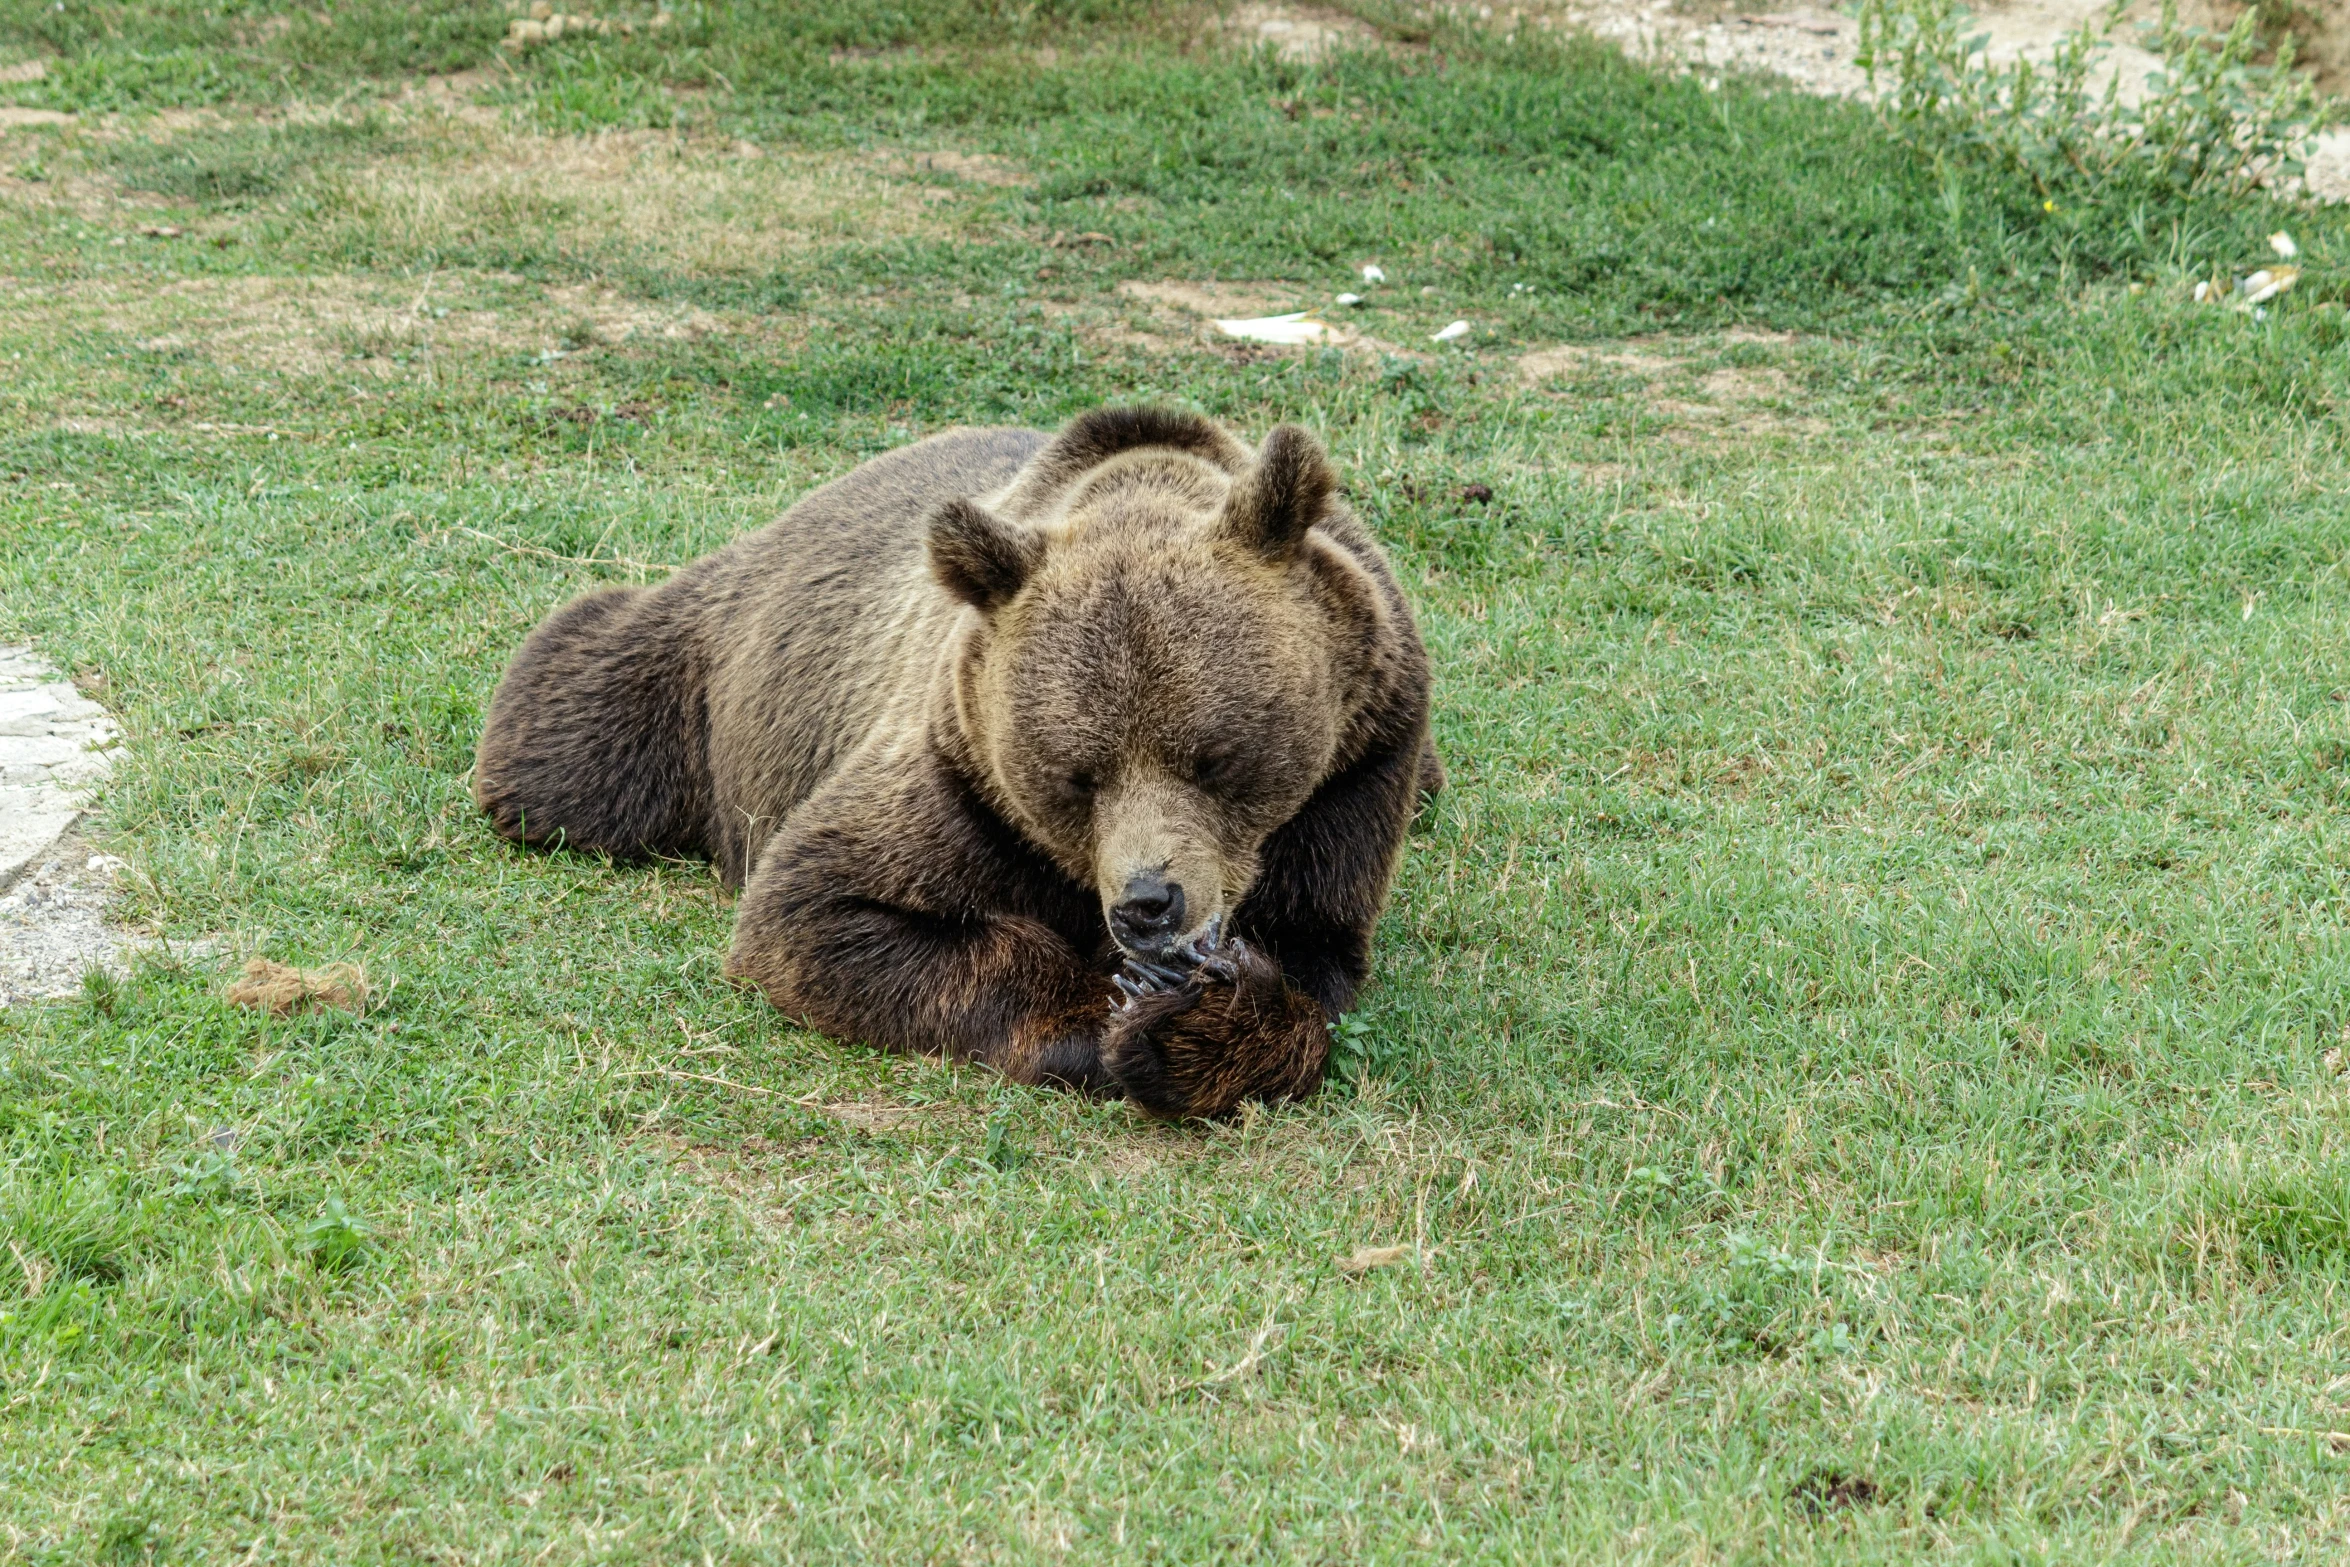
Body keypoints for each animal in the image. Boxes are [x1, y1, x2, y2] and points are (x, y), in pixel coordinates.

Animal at [472, 404, 1428, 1113]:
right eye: (1077, 775)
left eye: (1214, 756)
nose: (1148, 903)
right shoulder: (958, 773)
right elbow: (821, 910)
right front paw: (1116, 1012)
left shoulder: (1356, 768)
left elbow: (1312, 956)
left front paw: (1193, 1018)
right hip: (701, 671)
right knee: (574, 734)